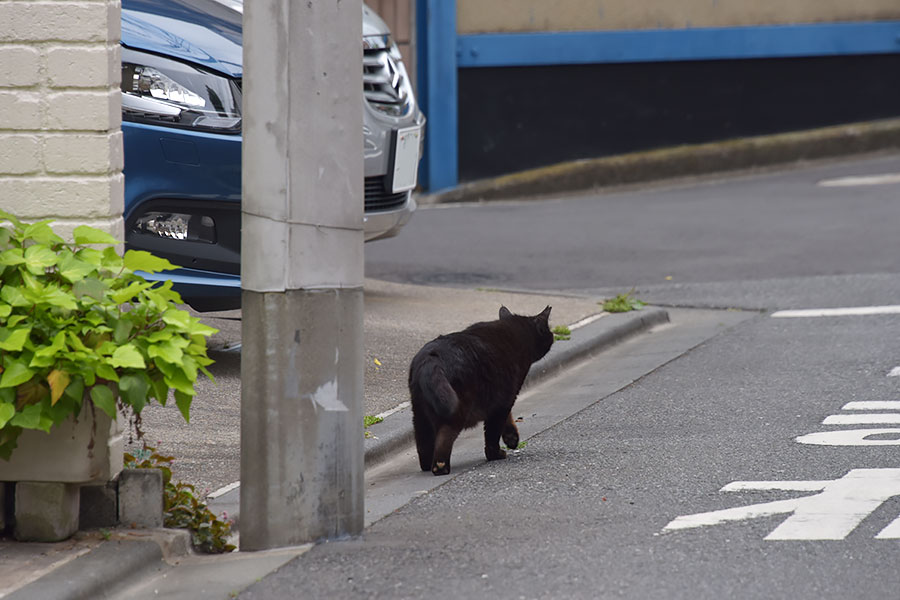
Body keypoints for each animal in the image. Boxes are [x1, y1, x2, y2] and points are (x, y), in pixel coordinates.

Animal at [410, 308, 552, 476]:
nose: (552, 337)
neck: (515, 331)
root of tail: (432, 358)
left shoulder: (501, 398)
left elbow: (506, 418)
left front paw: (511, 438)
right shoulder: (505, 399)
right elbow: (492, 433)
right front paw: (496, 454)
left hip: (419, 413)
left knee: (423, 442)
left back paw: (426, 465)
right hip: (456, 410)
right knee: (444, 437)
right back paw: (440, 467)